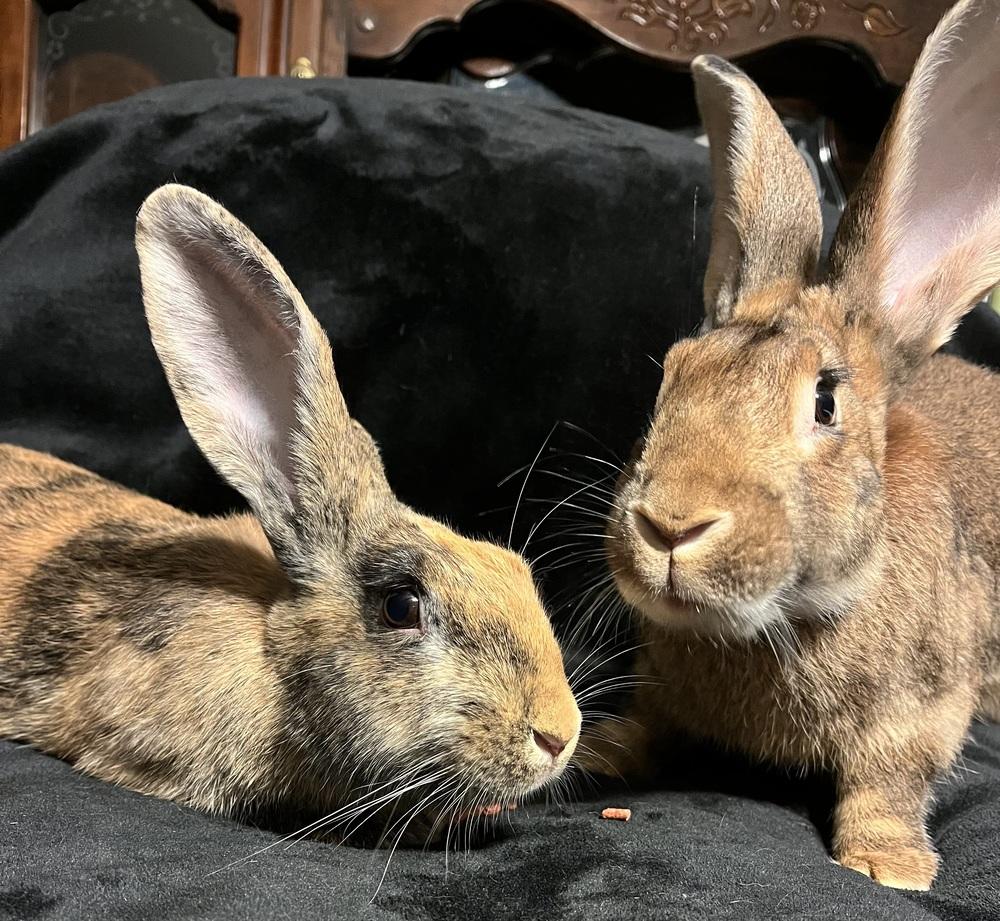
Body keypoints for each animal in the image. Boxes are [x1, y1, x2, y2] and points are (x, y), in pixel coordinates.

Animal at [581, 0, 1000, 892]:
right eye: (674, 373)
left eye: (825, 400)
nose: (670, 526)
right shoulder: (660, 689)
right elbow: (648, 725)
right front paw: (599, 749)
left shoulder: (922, 709)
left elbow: (890, 778)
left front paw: (888, 865)